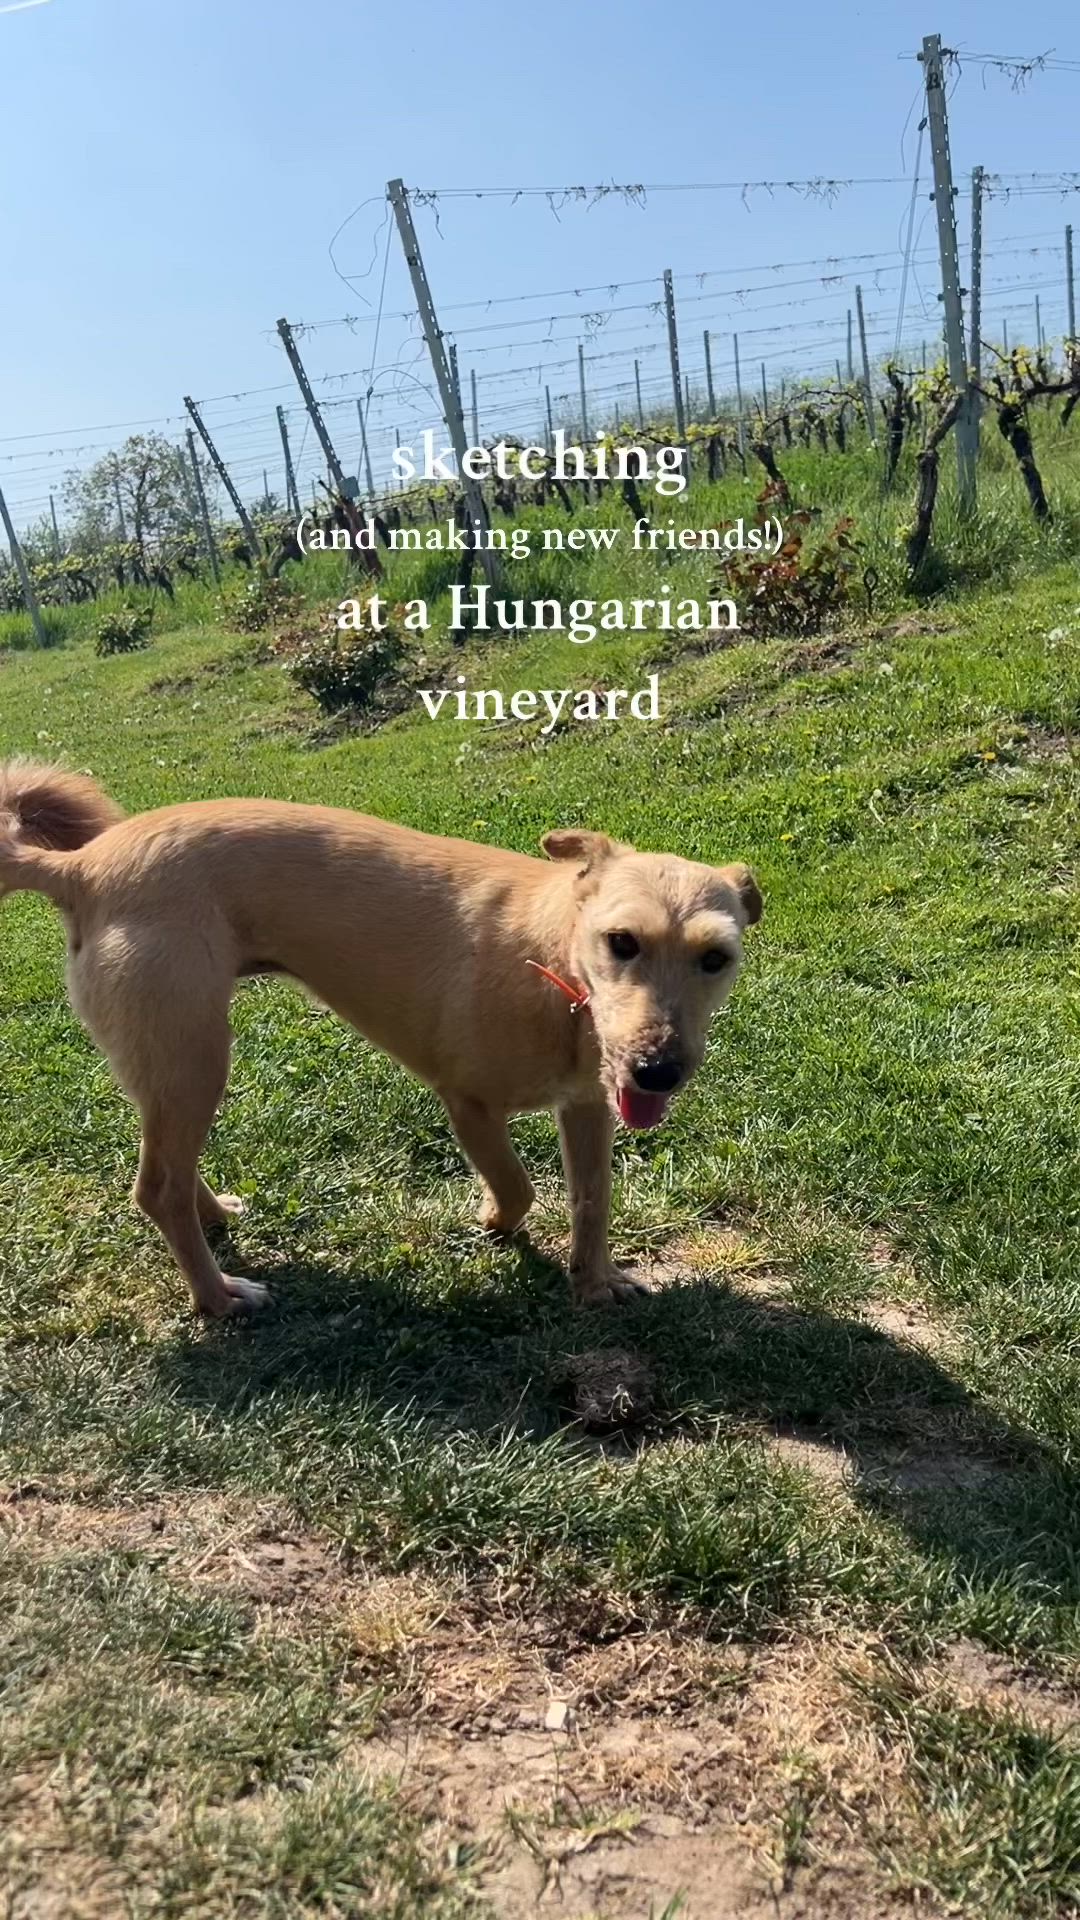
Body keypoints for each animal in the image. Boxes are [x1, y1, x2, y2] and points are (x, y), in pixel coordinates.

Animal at [0, 764, 757, 1320]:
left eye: (715, 959)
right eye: (621, 942)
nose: (658, 1071)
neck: (553, 961)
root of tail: (84, 867)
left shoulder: (589, 1107)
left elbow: (592, 1200)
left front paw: (596, 1282)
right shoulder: (466, 1101)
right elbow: (517, 1187)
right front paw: (495, 1223)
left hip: (169, 1062)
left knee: (170, 1172)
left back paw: (213, 1216)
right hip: (195, 1054)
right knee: (158, 1187)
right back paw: (218, 1298)